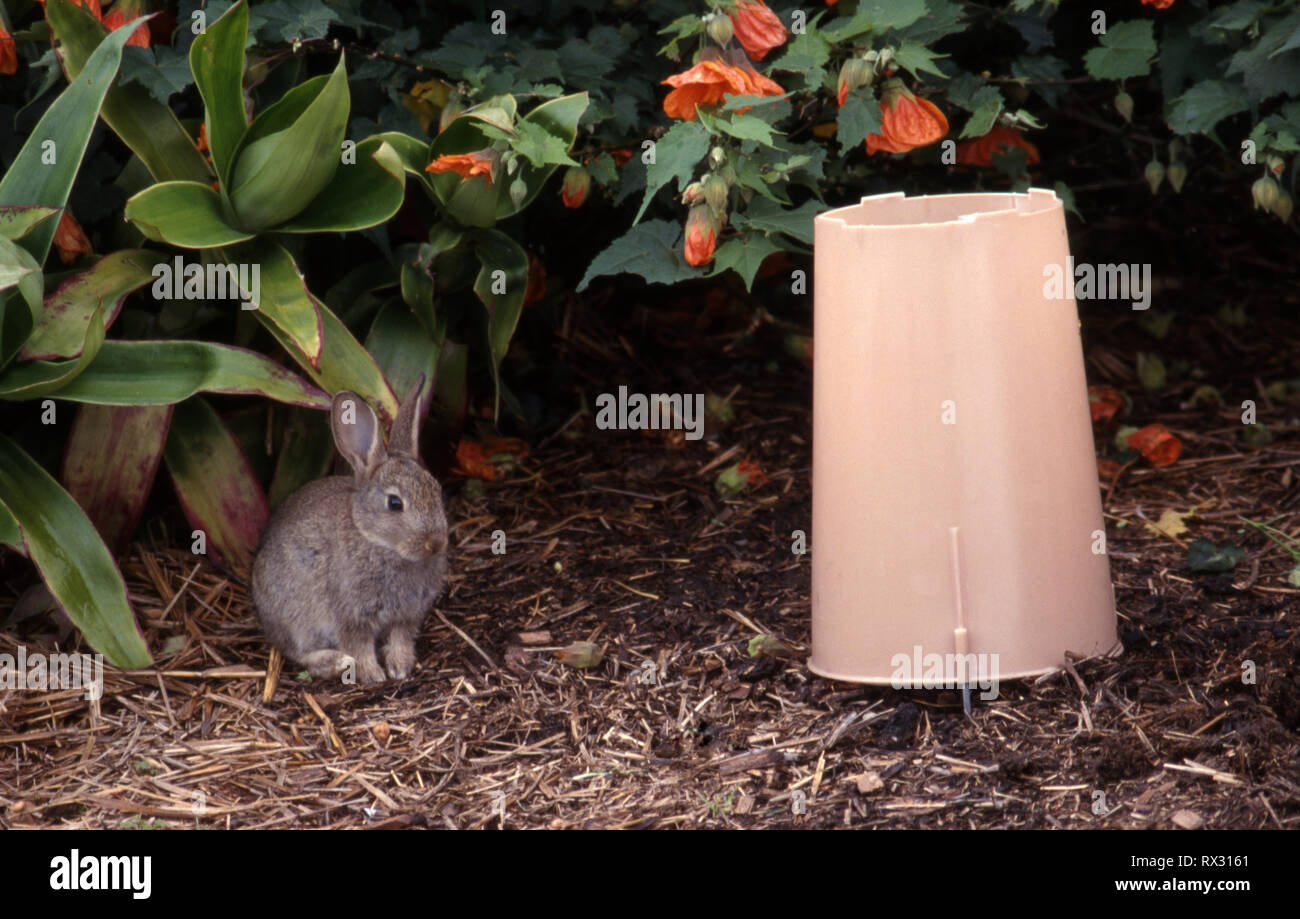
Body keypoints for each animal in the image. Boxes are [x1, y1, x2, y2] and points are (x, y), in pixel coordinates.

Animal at [251, 375, 449, 685]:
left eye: (437, 490)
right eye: (395, 503)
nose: (436, 543)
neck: (376, 541)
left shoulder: (407, 614)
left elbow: (401, 637)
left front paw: (400, 666)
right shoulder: (350, 615)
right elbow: (358, 644)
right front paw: (373, 674)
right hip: (294, 617)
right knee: (297, 652)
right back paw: (336, 663)